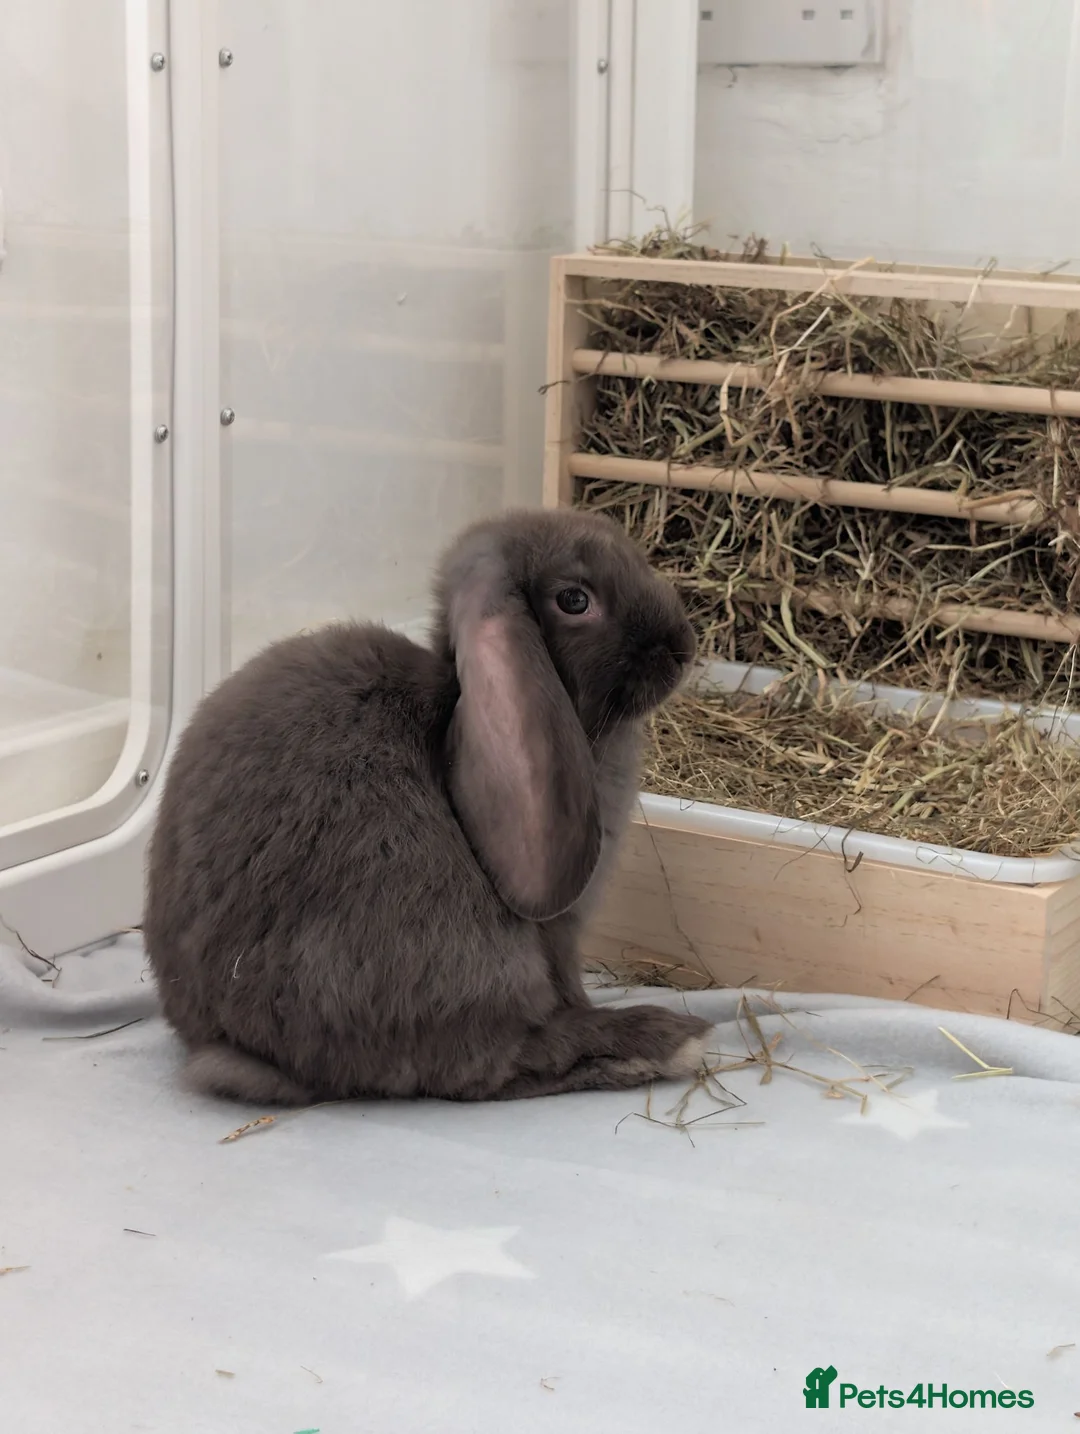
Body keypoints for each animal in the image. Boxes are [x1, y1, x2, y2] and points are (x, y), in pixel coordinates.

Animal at [143, 506, 712, 1105]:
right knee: (504, 1060)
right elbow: (565, 984)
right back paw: (662, 1040)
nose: (682, 648)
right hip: (464, 955)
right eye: (575, 600)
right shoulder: (557, 930)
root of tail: (241, 1048)